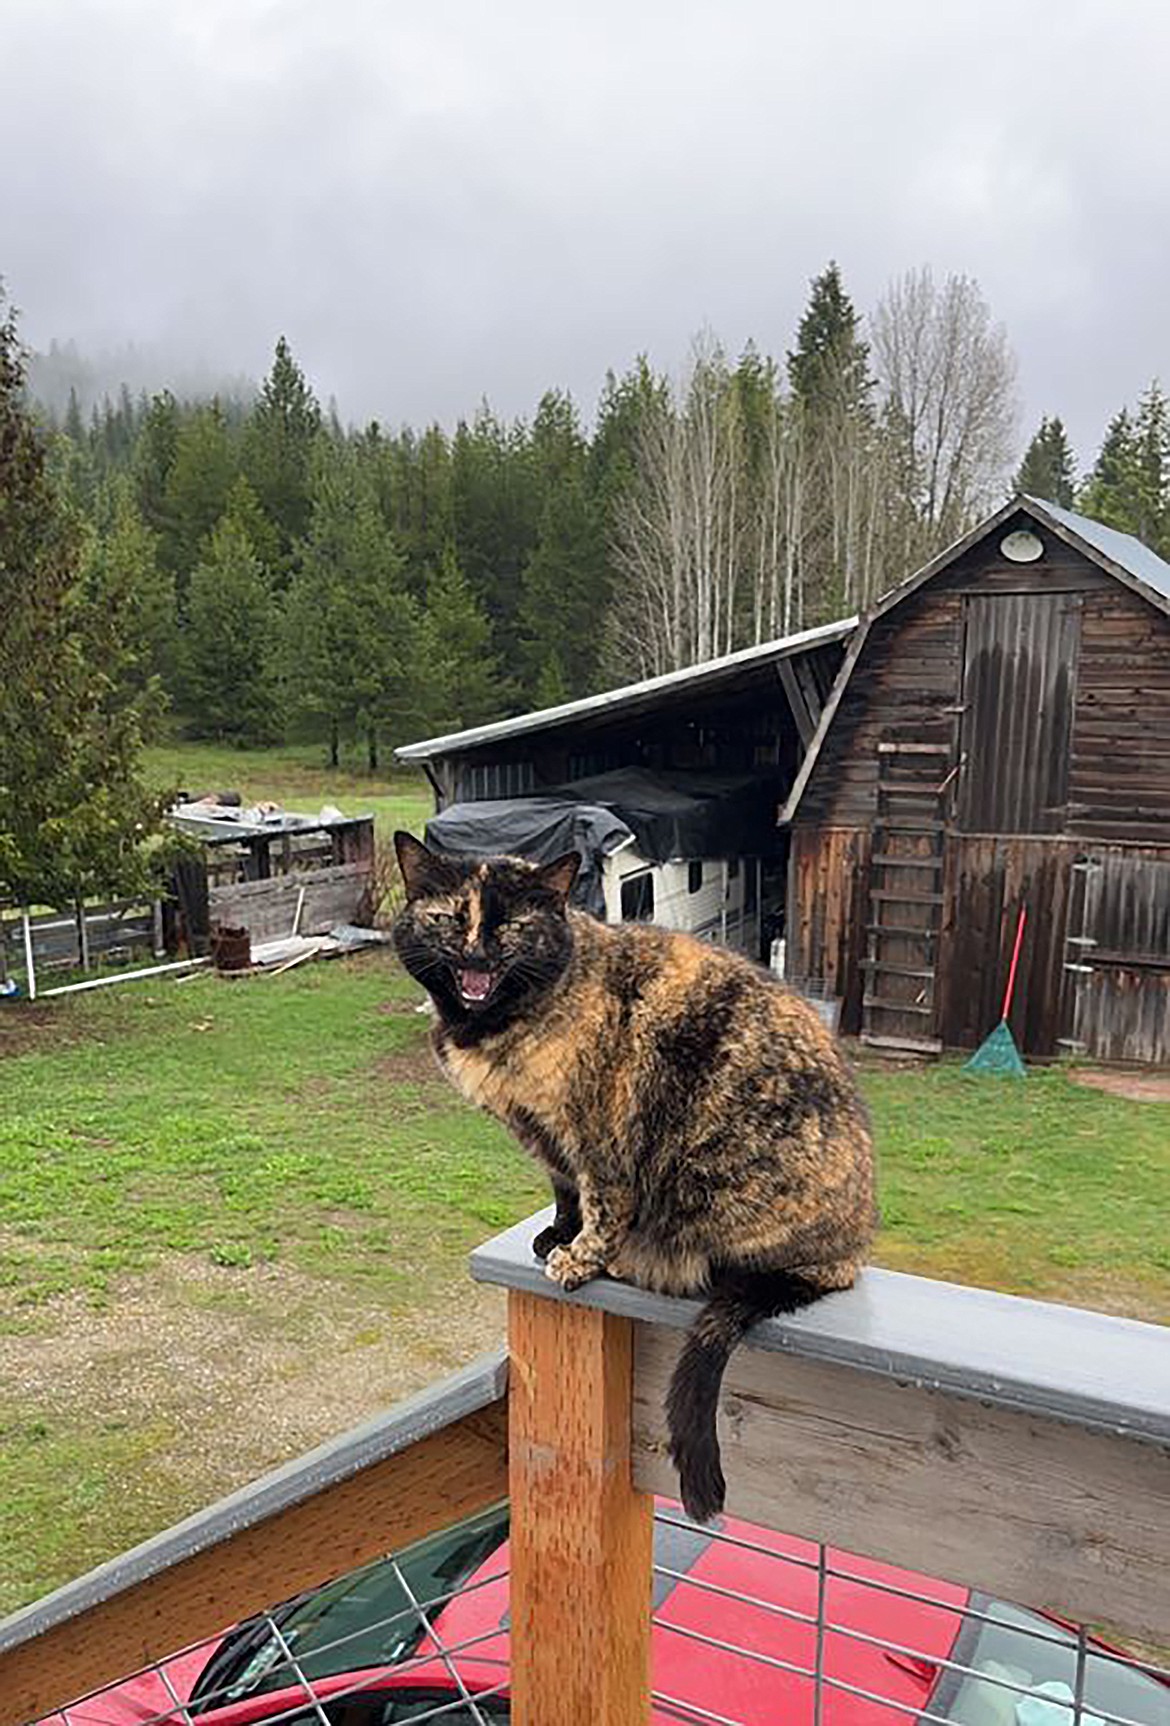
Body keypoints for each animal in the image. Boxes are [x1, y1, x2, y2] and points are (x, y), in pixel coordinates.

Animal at [396, 835, 880, 1525]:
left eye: (511, 924)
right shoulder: (547, 1140)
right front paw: (555, 1235)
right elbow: (564, 1192)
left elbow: (600, 1204)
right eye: (449, 918)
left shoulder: (597, 1134)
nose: (476, 955)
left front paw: (578, 1258)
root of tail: (850, 1253)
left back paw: (637, 1260)